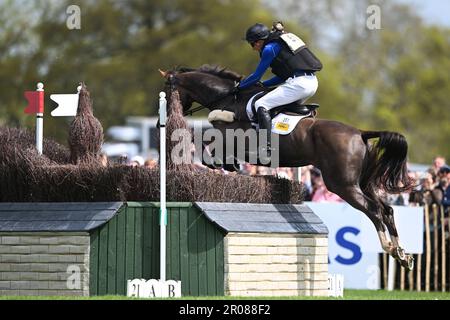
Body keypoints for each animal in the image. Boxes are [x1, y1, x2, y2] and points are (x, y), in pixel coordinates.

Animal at [160, 63, 416, 268]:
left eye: (167, 91)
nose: (164, 119)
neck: (229, 100)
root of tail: (361, 133)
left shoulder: (231, 140)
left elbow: (208, 153)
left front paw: (230, 166)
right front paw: (232, 167)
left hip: (342, 185)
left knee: (374, 210)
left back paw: (390, 248)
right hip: (363, 182)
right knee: (386, 209)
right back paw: (402, 254)